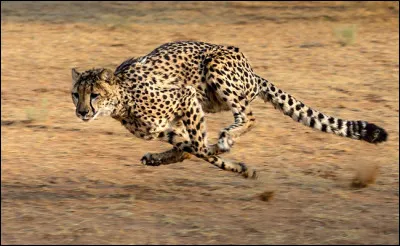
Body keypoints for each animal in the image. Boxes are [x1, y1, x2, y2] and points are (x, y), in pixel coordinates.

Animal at [71, 40, 388, 179]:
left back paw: (226, 138)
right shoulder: (166, 127)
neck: (122, 99)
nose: (82, 112)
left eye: (95, 95)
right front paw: (238, 166)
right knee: (193, 146)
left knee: (249, 116)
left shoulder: (185, 96)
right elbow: (190, 149)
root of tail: (252, 70)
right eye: (76, 95)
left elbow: (199, 147)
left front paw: (232, 160)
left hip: (215, 68)